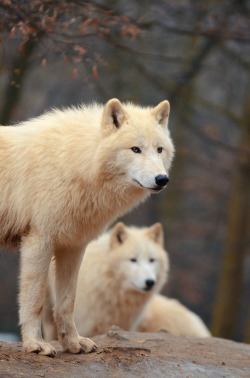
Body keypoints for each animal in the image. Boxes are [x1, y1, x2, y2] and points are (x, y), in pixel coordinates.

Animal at [0, 97, 175, 354]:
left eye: (159, 149)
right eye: (135, 149)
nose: (162, 180)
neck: (76, 163)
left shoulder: (73, 246)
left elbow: (67, 302)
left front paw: (73, 342)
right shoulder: (39, 241)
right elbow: (34, 300)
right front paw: (35, 344)